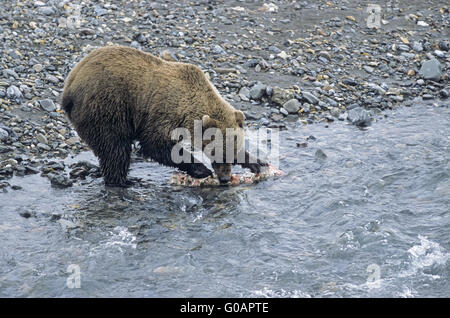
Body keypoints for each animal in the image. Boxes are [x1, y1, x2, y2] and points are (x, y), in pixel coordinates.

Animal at [61, 45, 266, 186]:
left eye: (230, 154)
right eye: (215, 153)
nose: (224, 178)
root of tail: (69, 87)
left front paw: (256, 162)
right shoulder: (163, 112)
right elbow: (155, 144)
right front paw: (201, 169)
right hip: (106, 107)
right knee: (114, 147)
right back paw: (123, 181)